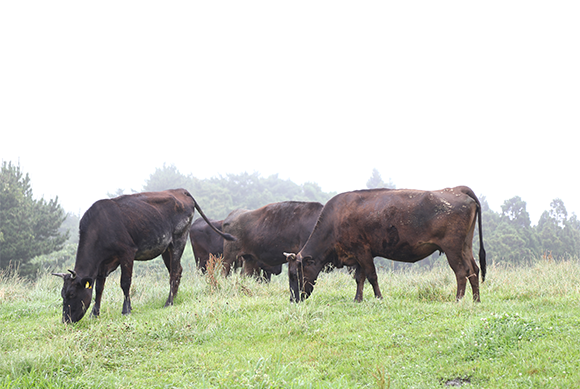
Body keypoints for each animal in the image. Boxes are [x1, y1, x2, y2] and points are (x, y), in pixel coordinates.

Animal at [52, 188, 233, 322]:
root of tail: (180, 190)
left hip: (179, 238)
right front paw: (94, 313)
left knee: (174, 272)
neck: (100, 227)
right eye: (62, 294)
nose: (66, 320)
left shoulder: (127, 252)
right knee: (178, 270)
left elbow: (125, 283)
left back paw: (169, 302)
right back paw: (173, 298)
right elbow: (99, 287)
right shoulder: (103, 263)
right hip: (166, 247)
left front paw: (126, 310)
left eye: (71, 294)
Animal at [284, 188, 484, 304]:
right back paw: (476, 300)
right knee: (474, 270)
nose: (293, 300)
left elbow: (371, 276)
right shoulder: (358, 255)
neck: (335, 219)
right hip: (465, 246)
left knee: (461, 272)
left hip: (452, 248)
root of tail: (458, 191)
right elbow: (359, 278)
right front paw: (358, 299)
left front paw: (379, 298)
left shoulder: (363, 251)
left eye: (294, 274)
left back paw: (458, 300)